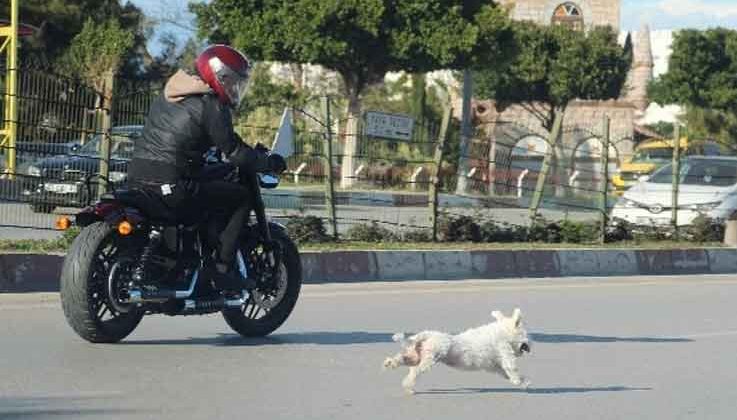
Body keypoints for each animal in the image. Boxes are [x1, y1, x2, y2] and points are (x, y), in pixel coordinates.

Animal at [382, 308, 532, 394]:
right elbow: (512, 369)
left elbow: (505, 373)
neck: (502, 331)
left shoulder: (494, 366)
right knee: (415, 371)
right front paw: (521, 382)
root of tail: (427, 335)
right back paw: (408, 387)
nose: (530, 344)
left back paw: (389, 363)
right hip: (429, 359)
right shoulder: (504, 353)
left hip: (416, 355)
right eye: (525, 333)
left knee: (404, 360)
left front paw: (520, 382)